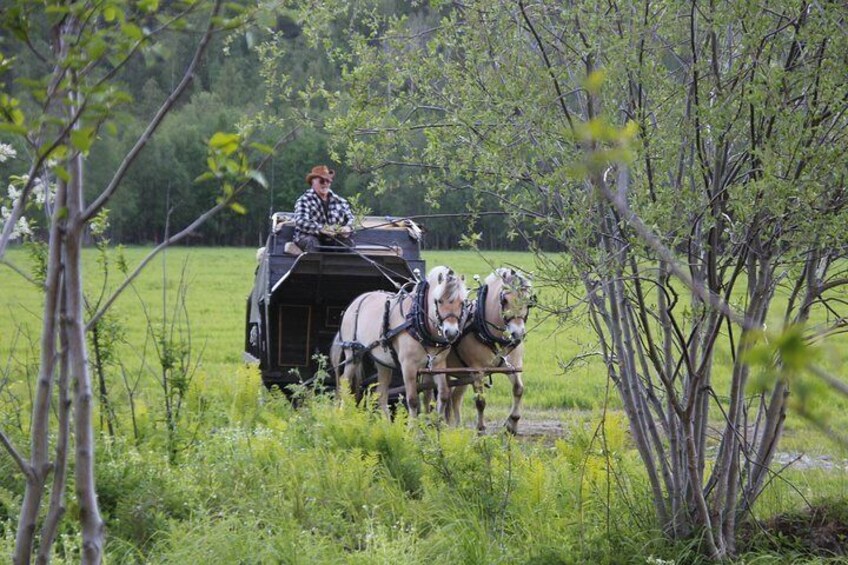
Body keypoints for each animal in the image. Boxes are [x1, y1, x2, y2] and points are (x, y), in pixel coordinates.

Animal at [332, 266, 468, 418]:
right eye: (439, 301)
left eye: (462, 302)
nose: (451, 332)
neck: (417, 321)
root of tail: (357, 301)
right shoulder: (408, 366)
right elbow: (413, 400)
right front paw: (412, 425)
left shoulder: (438, 364)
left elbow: (444, 394)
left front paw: (438, 423)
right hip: (353, 354)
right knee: (344, 382)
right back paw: (341, 414)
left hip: (382, 361)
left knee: (381, 394)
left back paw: (386, 422)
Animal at [448, 268, 532, 432]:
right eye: (505, 300)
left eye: (529, 302)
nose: (517, 334)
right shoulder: (477, 371)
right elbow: (480, 401)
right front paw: (481, 428)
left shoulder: (513, 366)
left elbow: (518, 389)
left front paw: (512, 422)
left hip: (462, 374)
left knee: (454, 397)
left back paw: (456, 426)